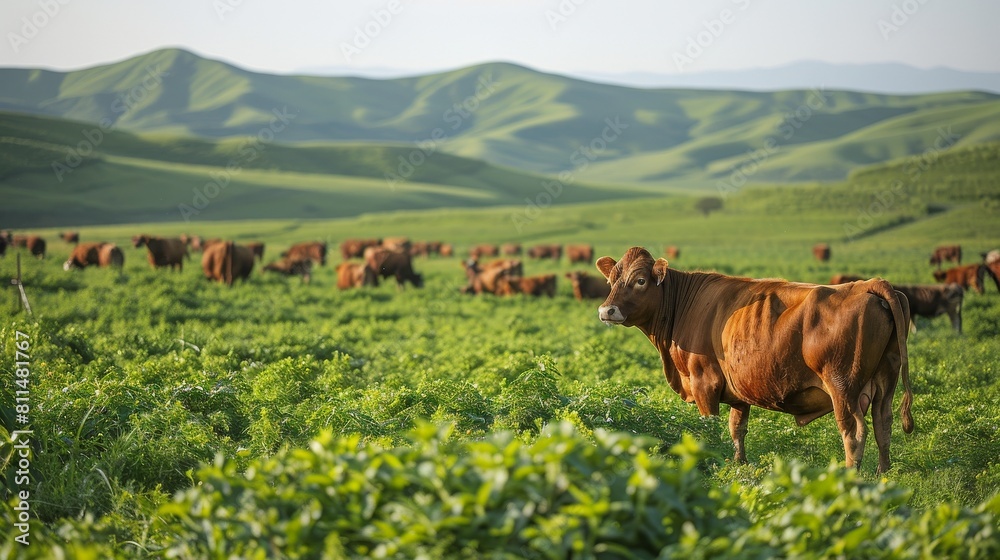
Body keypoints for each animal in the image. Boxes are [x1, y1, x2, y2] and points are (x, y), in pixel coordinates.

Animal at [596, 247, 913, 474]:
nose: (606, 311)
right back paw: (883, 476)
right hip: (886, 381)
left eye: (640, 280)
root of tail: (867, 284)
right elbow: (737, 429)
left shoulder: (704, 383)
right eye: (611, 280)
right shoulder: (738, 391)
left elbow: (710, 429)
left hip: (843, 387)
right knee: (883, 424)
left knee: (854, 433)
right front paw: (739, 465)